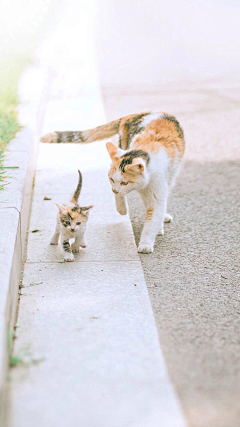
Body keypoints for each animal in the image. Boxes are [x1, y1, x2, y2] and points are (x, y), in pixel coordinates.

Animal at [41, 113, 185, 254]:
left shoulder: (156, 189)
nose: (114, 190)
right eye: (111, 179)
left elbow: (153, 217)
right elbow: (122, 198)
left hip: (171, 176)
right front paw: (122, 208)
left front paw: (145, 243)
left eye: (125, 182)